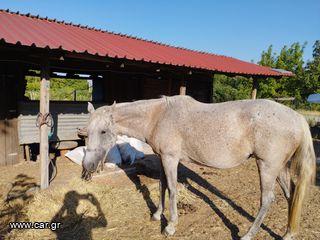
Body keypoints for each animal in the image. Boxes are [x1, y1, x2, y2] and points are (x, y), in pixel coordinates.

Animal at [82, 95, 316, 240]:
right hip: (280, 168)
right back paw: (288, 233)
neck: (158, 116)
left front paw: (170, 226)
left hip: (267, 167)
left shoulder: (170, 159)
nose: (87, 166)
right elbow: (162, 187)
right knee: (290, 195)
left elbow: (173, 190)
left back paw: (248, 234)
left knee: (267, 199)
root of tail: (297, 118)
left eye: (103, 131)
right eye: (88, 130)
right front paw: (157, 215)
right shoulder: (162, 159)